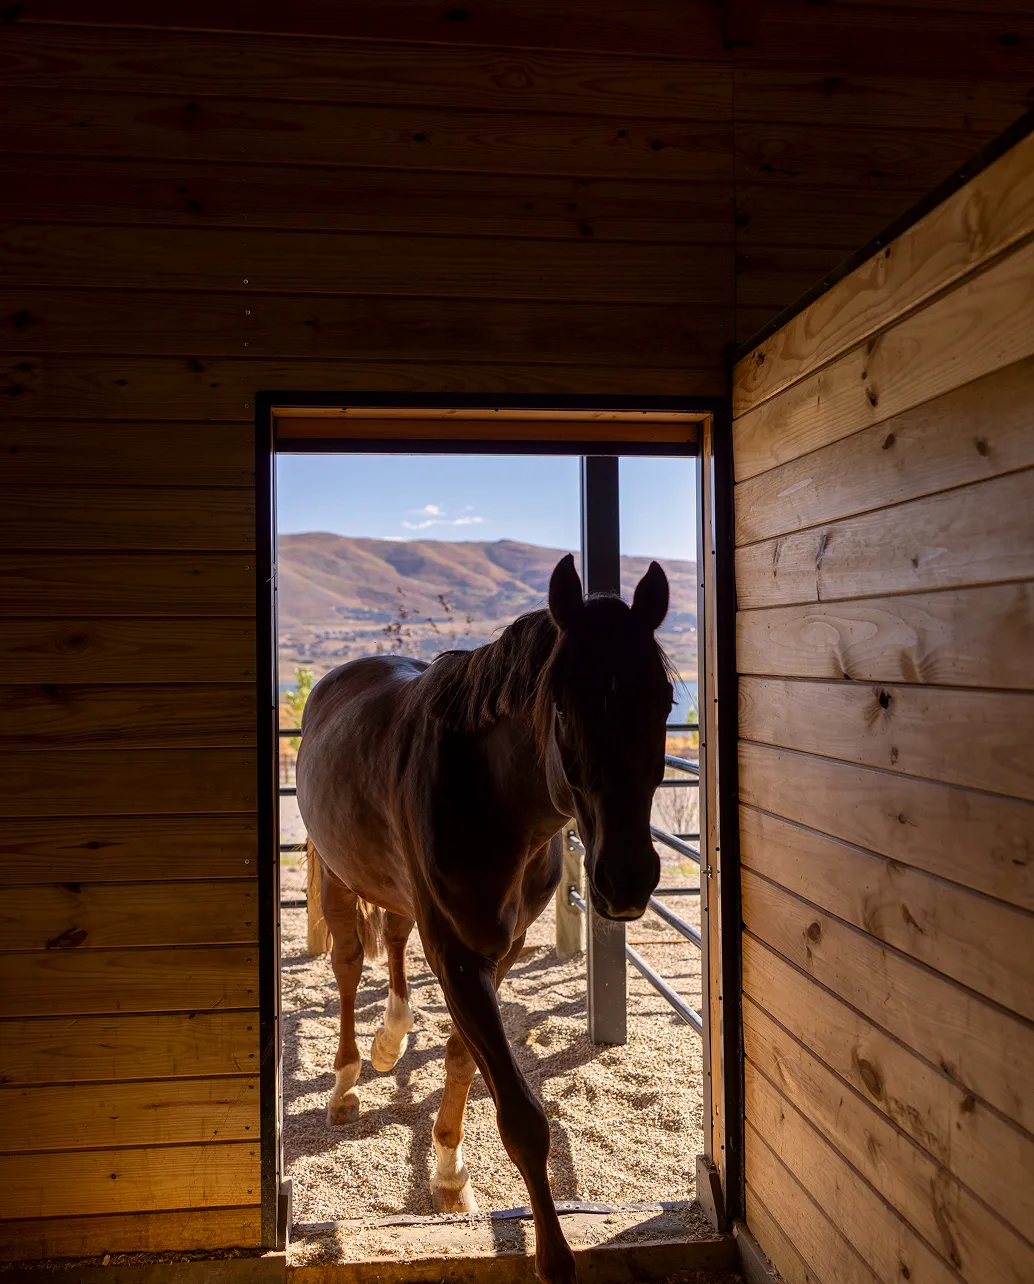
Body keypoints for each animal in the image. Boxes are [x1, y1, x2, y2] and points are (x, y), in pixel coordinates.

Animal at [296, 554, 673, 1284]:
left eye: (666, 701)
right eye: (564, 706)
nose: (626, 878)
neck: (491, 796)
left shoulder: (502, 947)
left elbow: (462, 1057)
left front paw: (447, 1169)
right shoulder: (456, 951)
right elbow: (522, 1117)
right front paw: (553, 1257)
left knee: (393, 939)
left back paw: (391, 1039)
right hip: (338, 874)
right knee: (349, 966)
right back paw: (347, 1083)